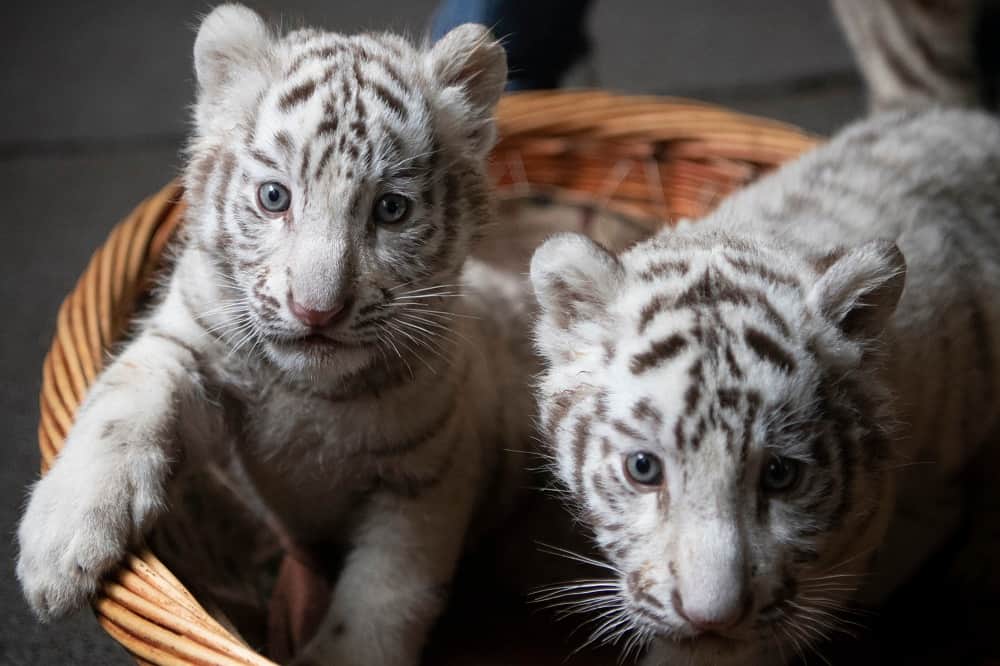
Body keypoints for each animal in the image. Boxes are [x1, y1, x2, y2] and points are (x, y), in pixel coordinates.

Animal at [15, 5, 536, 665]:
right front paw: (61, 547)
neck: (313, 393)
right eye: (274, 197)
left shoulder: (424, 481)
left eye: (391, 210)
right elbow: (125, 395)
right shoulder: (192, 344)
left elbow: (386, 597)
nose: (316, 311)